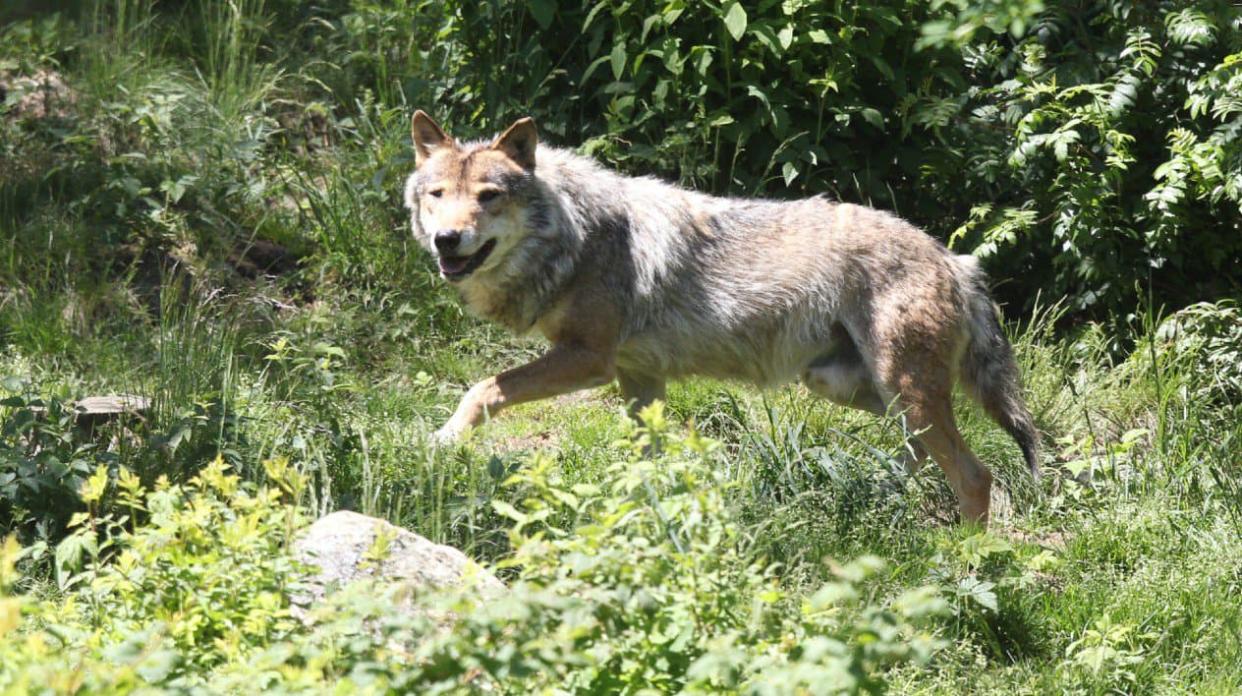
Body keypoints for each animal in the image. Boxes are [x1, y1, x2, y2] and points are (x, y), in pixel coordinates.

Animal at [399, 109, 1038, 522]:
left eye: (488, 196)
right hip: (849, 385)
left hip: (899, 388)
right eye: (437, 195)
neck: (573, 234)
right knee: (923, 454)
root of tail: (956, 261)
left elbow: (482, 388)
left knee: (975, 476)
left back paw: (965, 561)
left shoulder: (588, 359)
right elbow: (647, 463)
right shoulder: (638, 377)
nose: (447, 240)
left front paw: (440, 442)